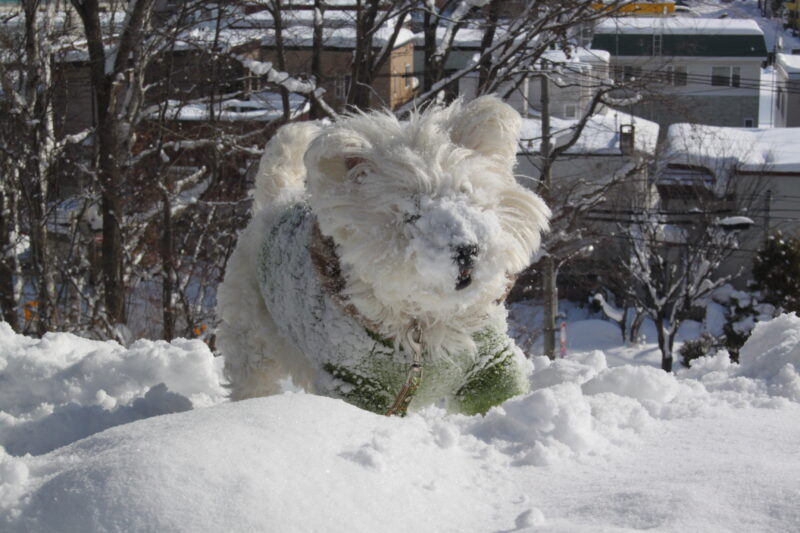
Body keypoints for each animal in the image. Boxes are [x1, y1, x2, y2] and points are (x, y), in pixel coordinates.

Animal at [217, 96, 550, 415]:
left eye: (467, 195)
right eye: (411, 215)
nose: (467, 249)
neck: (426, 322)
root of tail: (277, 200)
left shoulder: (489, 365)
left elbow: (499, 397)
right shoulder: (356, 382)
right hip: (253, 336)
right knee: (253, 376)